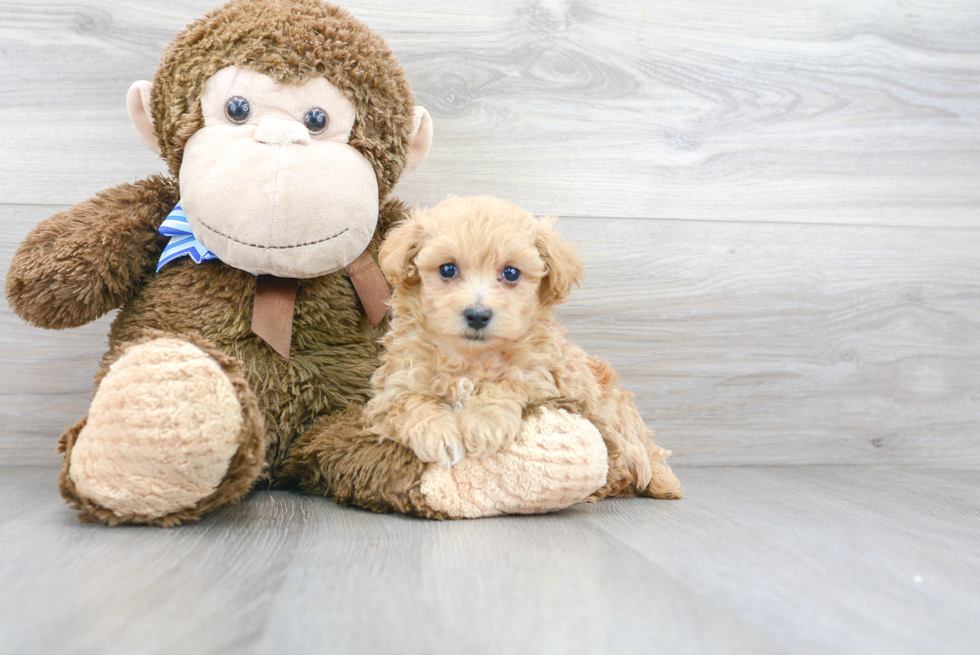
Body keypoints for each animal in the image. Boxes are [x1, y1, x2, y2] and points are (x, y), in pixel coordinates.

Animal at [368, 197, 680, 500]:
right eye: (447, 269)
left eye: (511, 273)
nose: (477, 315)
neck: (470, 359)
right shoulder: (395, 385)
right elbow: (411, 402)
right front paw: (437, 433)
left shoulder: (542, 377)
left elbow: (507, 383)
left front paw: (484, 423)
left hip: (616, 418)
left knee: (636, 461)